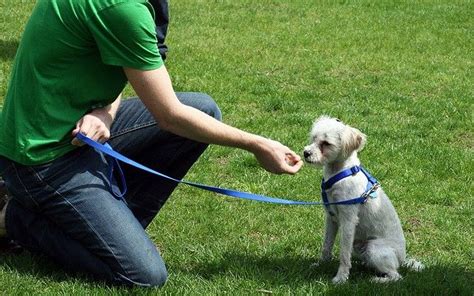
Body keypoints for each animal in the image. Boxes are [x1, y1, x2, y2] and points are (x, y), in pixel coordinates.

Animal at [304, 116, 422, 284]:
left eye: (326, 143)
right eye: (314, 138)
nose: (306, 153)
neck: (339, 173)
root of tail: (402, 259)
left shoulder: (348, 220)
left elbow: (344, 254)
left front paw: (341, 277)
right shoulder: (331, 218)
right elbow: (326, 244)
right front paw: (321, 264)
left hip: (374, 248)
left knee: (396, 276)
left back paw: (376, 280)